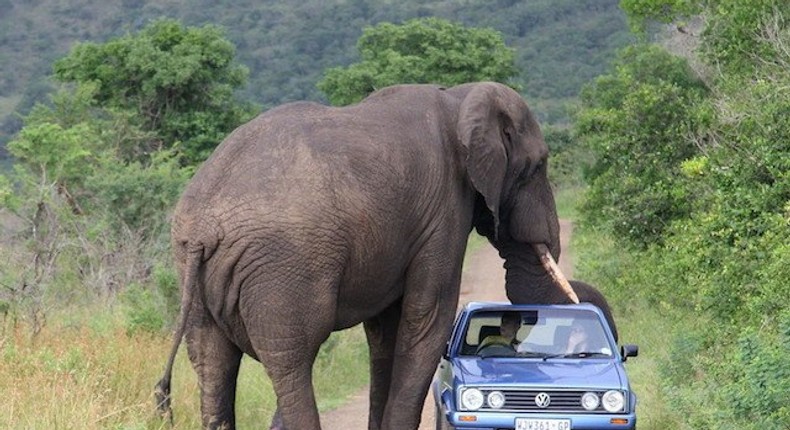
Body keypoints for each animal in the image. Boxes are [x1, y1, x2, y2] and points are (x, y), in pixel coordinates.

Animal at [152, 82, 568, 428]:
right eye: (538, 166)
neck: (459, 96)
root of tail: (204, 226)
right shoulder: (444, 212)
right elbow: (427, 318)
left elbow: (385, 332)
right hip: (283, 266)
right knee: (292, 361)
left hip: (192, 268)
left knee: (212, 361)